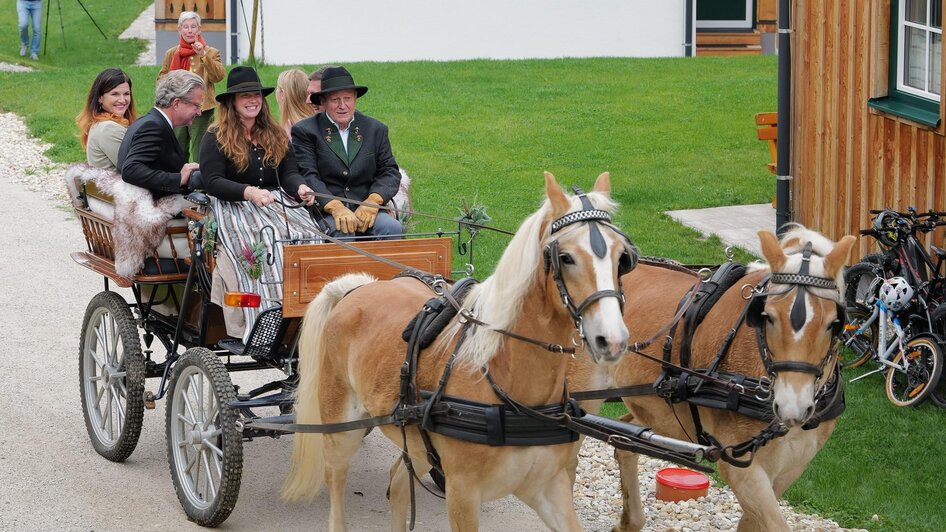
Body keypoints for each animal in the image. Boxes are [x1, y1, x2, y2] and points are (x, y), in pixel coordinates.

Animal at [280, 172, 636, 528]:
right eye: (566, 257)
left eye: (622, 257)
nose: (613, 339)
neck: (506, 379)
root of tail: (359, 285)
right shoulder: (462, 493)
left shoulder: (549, 487)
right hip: (340, 427)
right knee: (336, 483)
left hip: (417, 446)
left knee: (398, 483)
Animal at [568, 225, 856, 532]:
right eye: (767, 316)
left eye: (834, 323)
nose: (793, 407)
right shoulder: (740, 470)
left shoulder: (788, 469)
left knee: (624, 439)